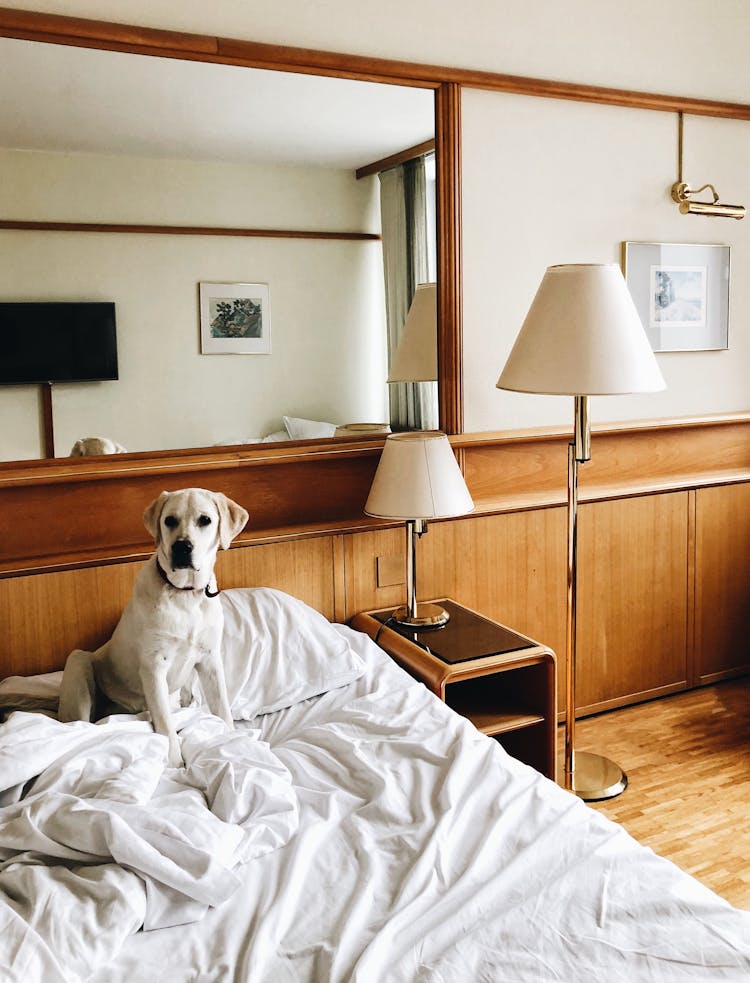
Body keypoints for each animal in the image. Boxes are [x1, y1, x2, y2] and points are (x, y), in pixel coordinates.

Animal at [58, 488, 250, 764]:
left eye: (205, 520)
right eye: (170, 520)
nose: (182, 546)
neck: (185, 594)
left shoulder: (210, 660)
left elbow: (222, 707)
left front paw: (234, 739)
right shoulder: (154, 667)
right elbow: (165, 723)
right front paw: (175, 763)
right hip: (78, 661)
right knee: (79, 725)